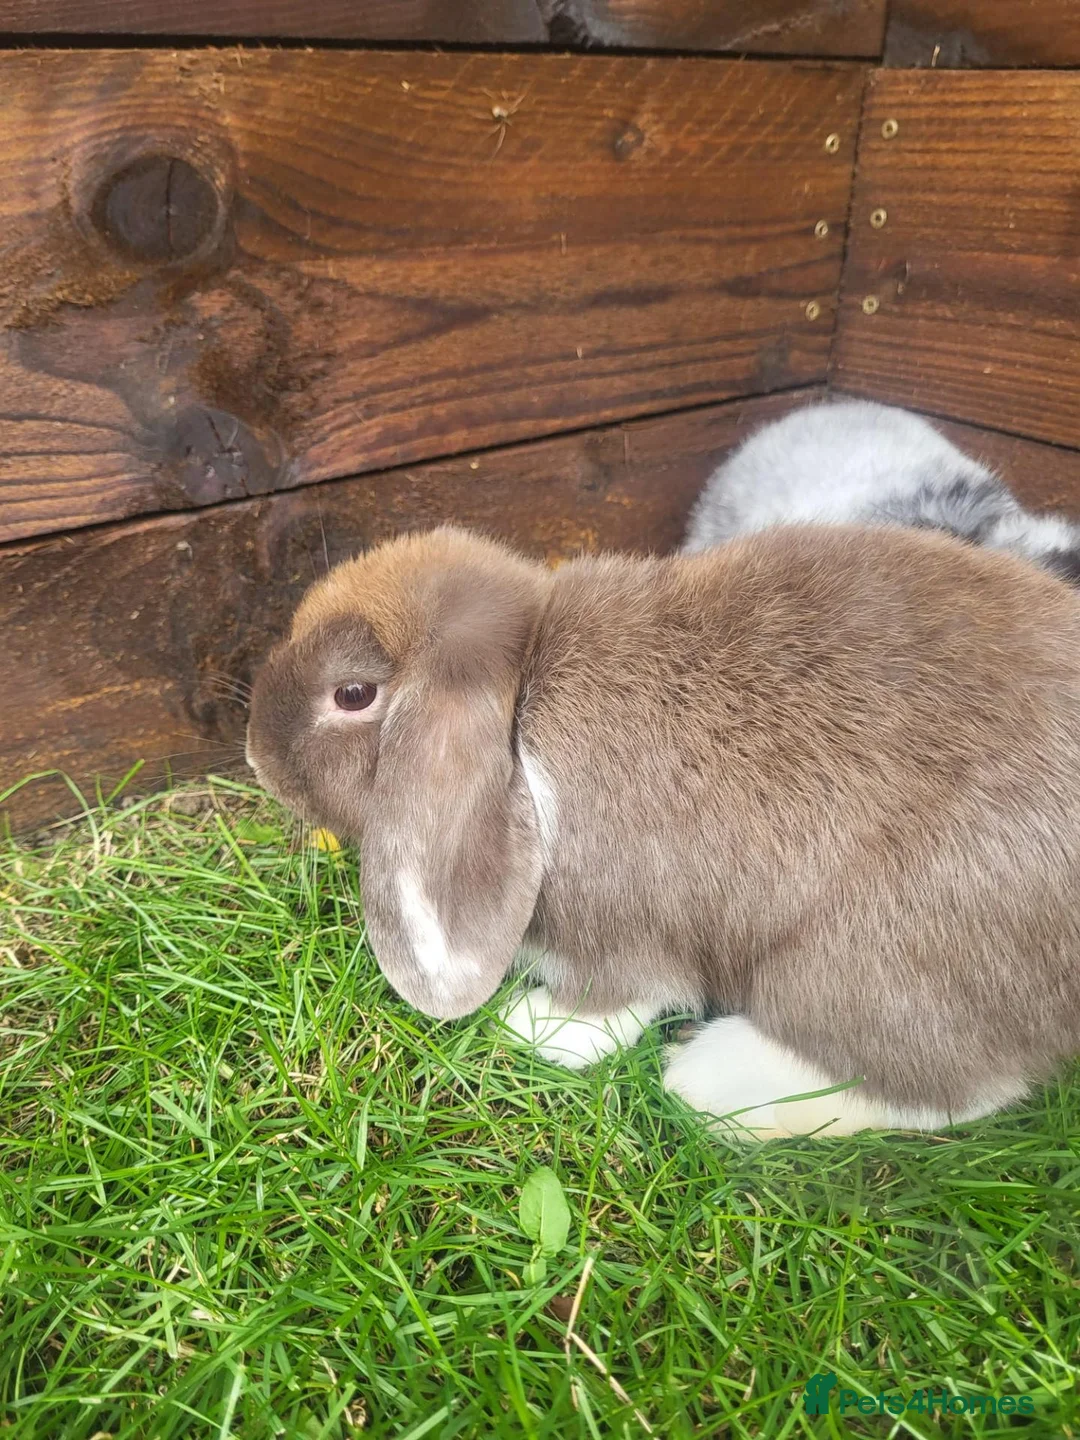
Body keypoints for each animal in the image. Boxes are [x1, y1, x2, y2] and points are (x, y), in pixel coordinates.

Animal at [246, 523, 1080, 1138]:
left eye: (353, 694)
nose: (256, 756)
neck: (525, 695)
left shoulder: (618, 929)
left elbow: (616, 998)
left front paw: (534, 1028)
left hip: (862, 965)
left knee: (942, 1086)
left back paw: (709, 1081)